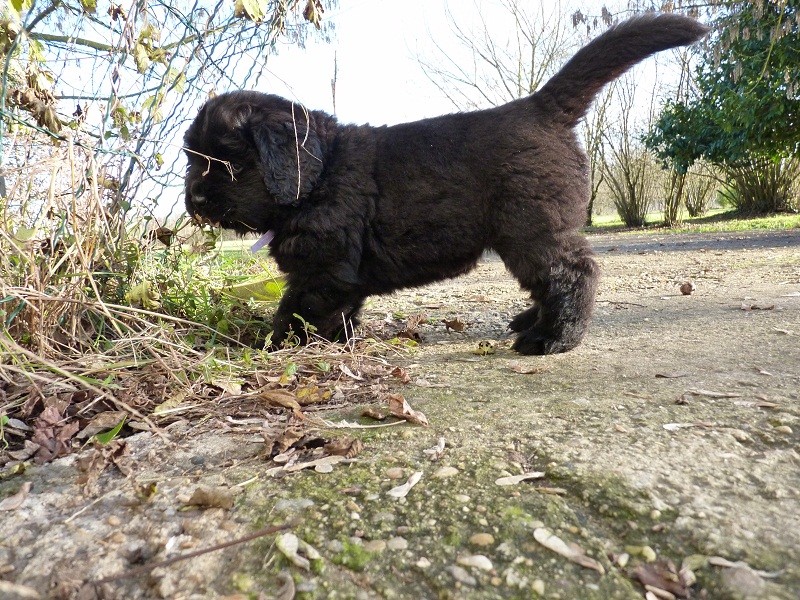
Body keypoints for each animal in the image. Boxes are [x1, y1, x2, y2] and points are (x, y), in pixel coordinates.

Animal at [186, 14, 708, 354]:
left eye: (225, 164)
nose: (192, 201)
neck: (319, 175)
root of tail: (541, 107)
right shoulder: (332, 272)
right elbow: (335, 309)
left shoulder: (322, 268)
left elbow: (297, 309)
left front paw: (275, 346)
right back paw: (533, 322)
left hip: (529, 228)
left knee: (571, 273)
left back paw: (553, 337)